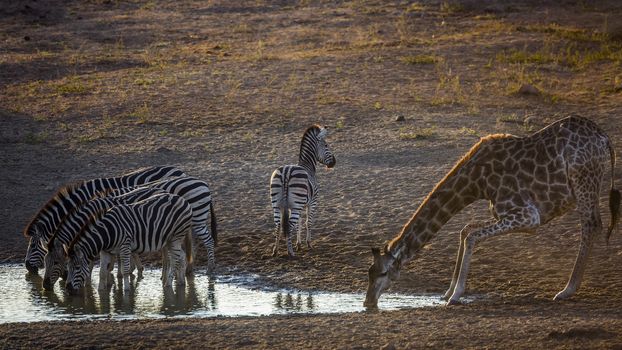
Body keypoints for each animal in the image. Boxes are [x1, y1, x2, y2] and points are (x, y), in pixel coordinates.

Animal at [41, 187, 169, 292]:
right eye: (45, 262)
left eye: (56, 262)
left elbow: (92, 264)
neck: (87, 216)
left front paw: (89, 283)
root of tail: (162, 190)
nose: (45, 286)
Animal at [65, 191, 193, 292]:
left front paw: (126, 292)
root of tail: (182, 199)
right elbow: (102, 273)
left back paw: (168, 285)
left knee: (175, 259)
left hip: (176, 236)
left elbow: (125, 271)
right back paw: (181, 283)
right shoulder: (105, 251)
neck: (107, 232)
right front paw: (101, 292)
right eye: (68, 266)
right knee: (181, 256)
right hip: (170, 239)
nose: (67, 288)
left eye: (77, 267)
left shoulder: (125, 246)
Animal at [270, 126, 336, 258]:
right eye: (326, 145)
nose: (334, 162)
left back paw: (275, 250)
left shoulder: (297, 206)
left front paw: (299, 244)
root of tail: (286, 172)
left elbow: (299, 223)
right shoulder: (312, 202)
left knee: (278, 225)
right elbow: (307, 223)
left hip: (277, 205)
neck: (308, 165)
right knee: (289, 225)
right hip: (296, 203)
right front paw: (308, 244)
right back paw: (290, 252)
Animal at [364, 115, 620, 306]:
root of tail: (604, 138)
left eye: (383, 273)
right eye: (369, 271)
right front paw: (447, 292)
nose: (368, 302)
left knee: (591, 225)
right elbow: (465, 231)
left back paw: (567, 290)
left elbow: (471, 236)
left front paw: (456, 295)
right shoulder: (504, 215)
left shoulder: (528, 217)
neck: (477, 182)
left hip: (584, 180)